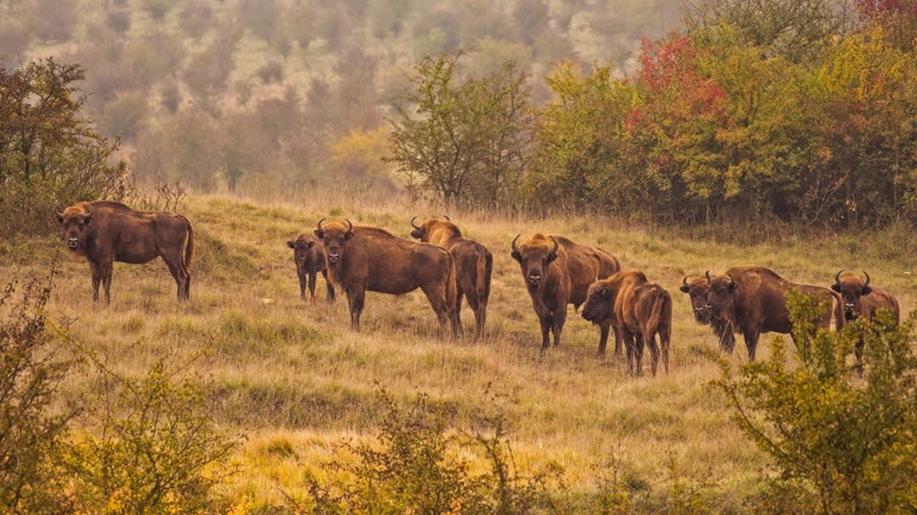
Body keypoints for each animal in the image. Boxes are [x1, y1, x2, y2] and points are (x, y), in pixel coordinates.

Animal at [56, 201, 193, 304]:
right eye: (65, 223)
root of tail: (180, 218)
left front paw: (107, 303)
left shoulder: (106, 260)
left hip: (171, 256)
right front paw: (94, 302)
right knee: (185, 276)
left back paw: (180, 302)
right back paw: (184, 301)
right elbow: (95, 283)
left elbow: (106, 283)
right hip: (177, 257)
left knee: (181, 277)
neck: (92, 222)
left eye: (81, 224)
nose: (72, 241)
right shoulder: (93, 262)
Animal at [314, 217, 458, 334]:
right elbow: (351, 309)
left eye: (342, 239)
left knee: (442, 312)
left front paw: (356, 329)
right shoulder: (350, 289)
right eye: (325, 238)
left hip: (432, 289)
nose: (333, 256)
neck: (349, 248)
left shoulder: (357, 287)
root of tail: (443, 252)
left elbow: (356, 309)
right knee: (448, 311)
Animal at [700, 268, 844, 360]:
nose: (708, 306)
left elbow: (751, 348)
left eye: (722, 291)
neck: (740, 290)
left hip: (820, 327)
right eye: (709, 289)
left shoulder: (752, 328)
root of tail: (826, 291)